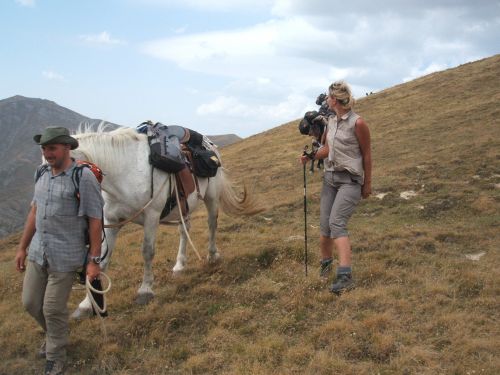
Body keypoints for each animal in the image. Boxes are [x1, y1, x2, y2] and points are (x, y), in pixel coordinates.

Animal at [70, 128, 262, 318]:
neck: (126, 172)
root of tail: (210, 145)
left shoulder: (151, 216)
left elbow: (147, 252)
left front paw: (145, 290)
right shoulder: (112, 220)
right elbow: (101, 261)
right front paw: (87, 305)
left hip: (211, 197)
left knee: (212, 224)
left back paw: (212, 255)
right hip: (183, 207)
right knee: (184, 231)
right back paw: (179, 265)